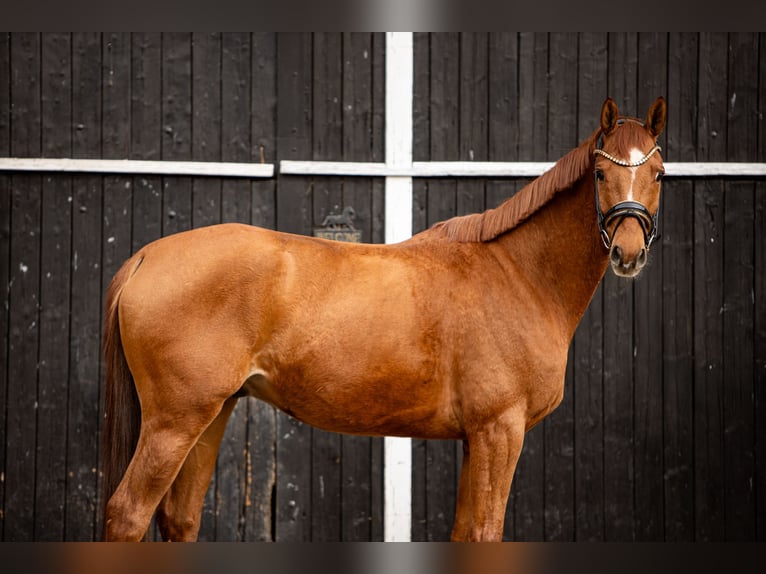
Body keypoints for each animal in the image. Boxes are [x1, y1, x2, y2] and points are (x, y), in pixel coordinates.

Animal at [100, 96, 667, 542]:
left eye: (658, 173)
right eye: (600, 173)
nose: (628, 253)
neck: (518, 272)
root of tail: (147, 257)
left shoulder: (476, 440)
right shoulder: (499, 431)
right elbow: (486, 532)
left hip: (213, 413)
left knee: (179, 519)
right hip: (175, 421)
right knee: (127, 515)